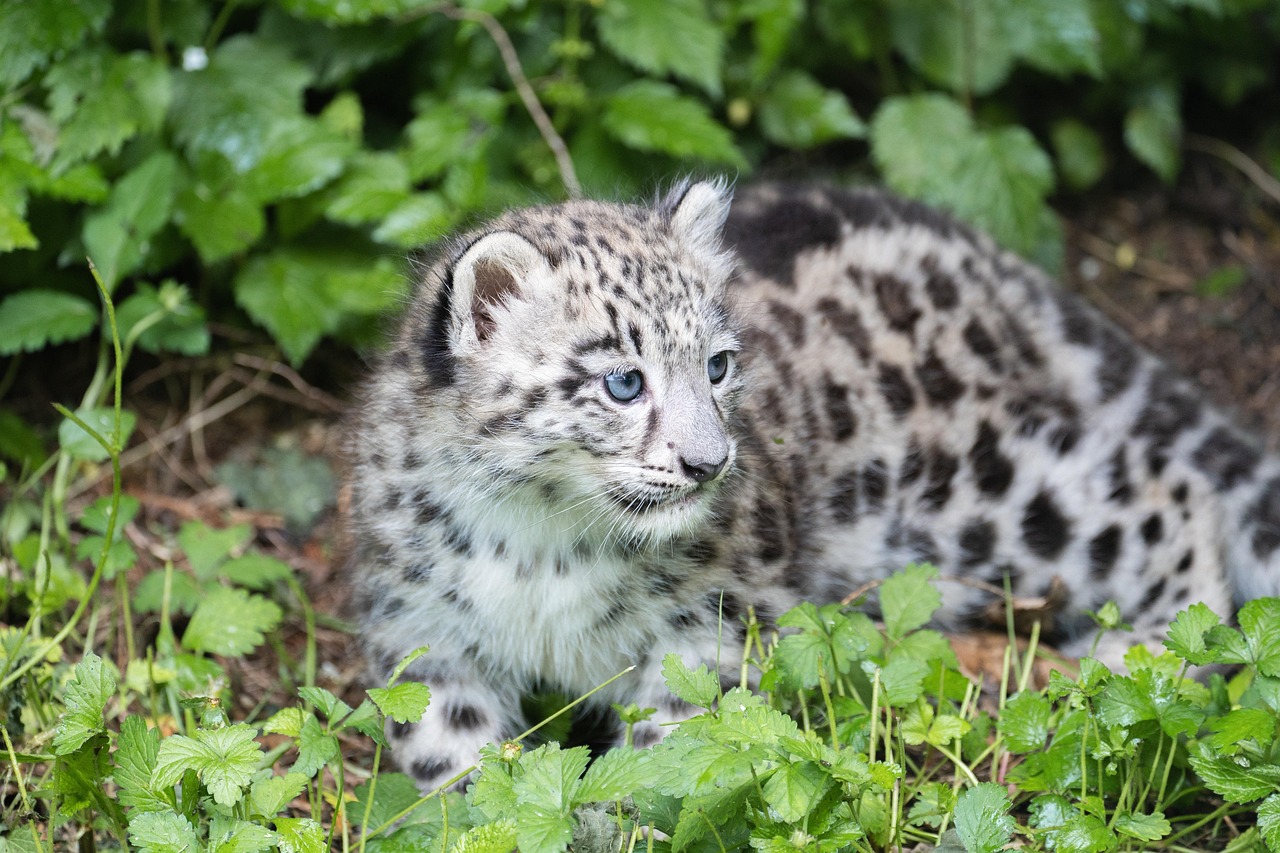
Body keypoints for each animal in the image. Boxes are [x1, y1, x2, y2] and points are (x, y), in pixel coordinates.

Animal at [347, 179, 1280, 792]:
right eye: (623, 381)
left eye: (717, 365)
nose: (708, 462)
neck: (541, 540)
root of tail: (987, 257)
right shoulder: (424, 637)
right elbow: (456, 765)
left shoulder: (712, 624)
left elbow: (679, 750)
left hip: (984, 482)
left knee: (1164, 493)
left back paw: (1143, 665)